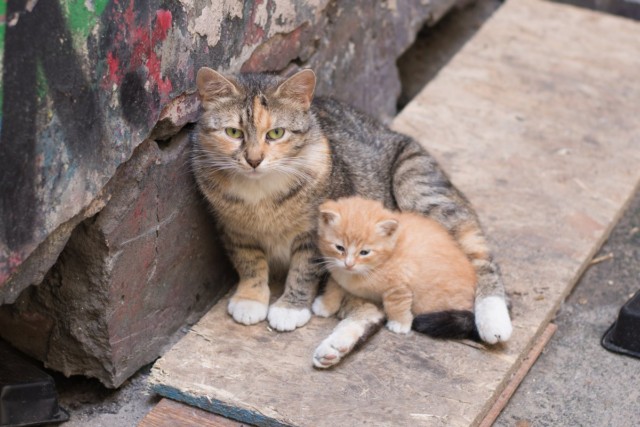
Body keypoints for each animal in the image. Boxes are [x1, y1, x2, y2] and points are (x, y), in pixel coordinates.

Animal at [316, 197, 480, 348]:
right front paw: (325, 305)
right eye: (339, 248)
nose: (349, 264)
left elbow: (396, 303)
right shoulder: (336, 270)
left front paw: (400, 323)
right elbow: (333, 287)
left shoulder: (399, 284)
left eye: (364, 252)